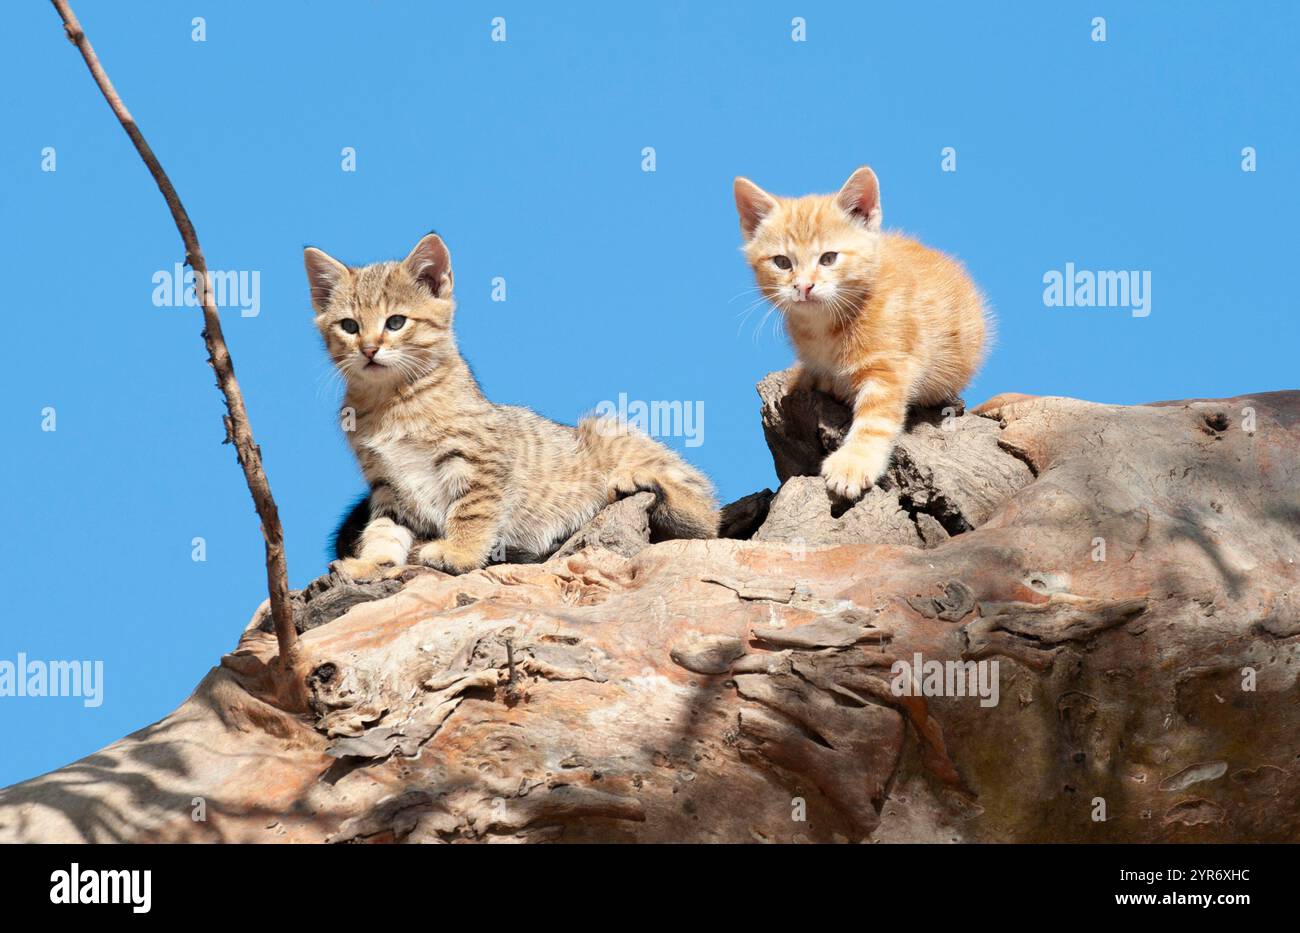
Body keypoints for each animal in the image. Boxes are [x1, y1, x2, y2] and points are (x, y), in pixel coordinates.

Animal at [302, 231, 717, 582]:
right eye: (349, 326)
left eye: (396, 322)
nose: (369, 349)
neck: (390, 400)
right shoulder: (387, 486)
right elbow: (383, 529)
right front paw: (372, 563)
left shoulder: (479, 463)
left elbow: (471, 512)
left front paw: (459, 553)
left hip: (610, 431)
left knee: (705, 519)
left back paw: (648, 484)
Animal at [733, 167, 982, 504]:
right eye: (782, 262)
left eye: (828, 258)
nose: (803, 286)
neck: (826, 327)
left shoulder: (889, 367)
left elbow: (875, 421)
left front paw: (853, 464)